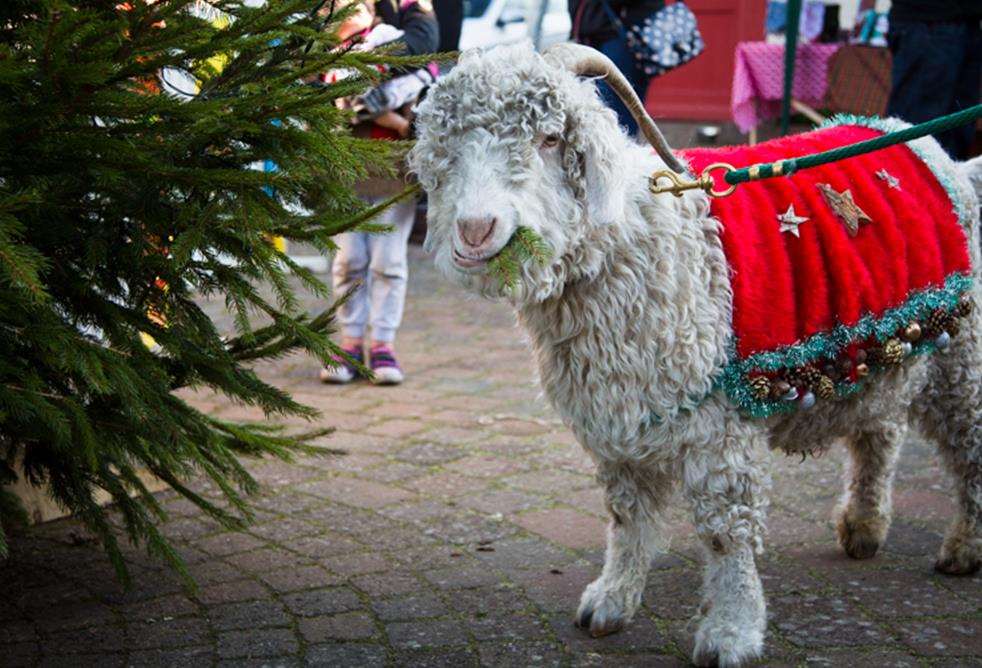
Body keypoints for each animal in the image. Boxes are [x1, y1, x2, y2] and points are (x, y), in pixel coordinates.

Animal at [408, 43, 982, 668]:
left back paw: (964, 549)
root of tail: (942, 158)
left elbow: (725, 529)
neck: (637, 242)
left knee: (968, 448)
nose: (475, 228)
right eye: (446, 145)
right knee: (880, 431)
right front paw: (611, 601)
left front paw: (731, 631)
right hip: (885, 352)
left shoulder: (717, 422)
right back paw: (864, 525)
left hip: (962, 356)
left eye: (551, 139)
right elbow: (627, 514)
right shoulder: (620, 419)